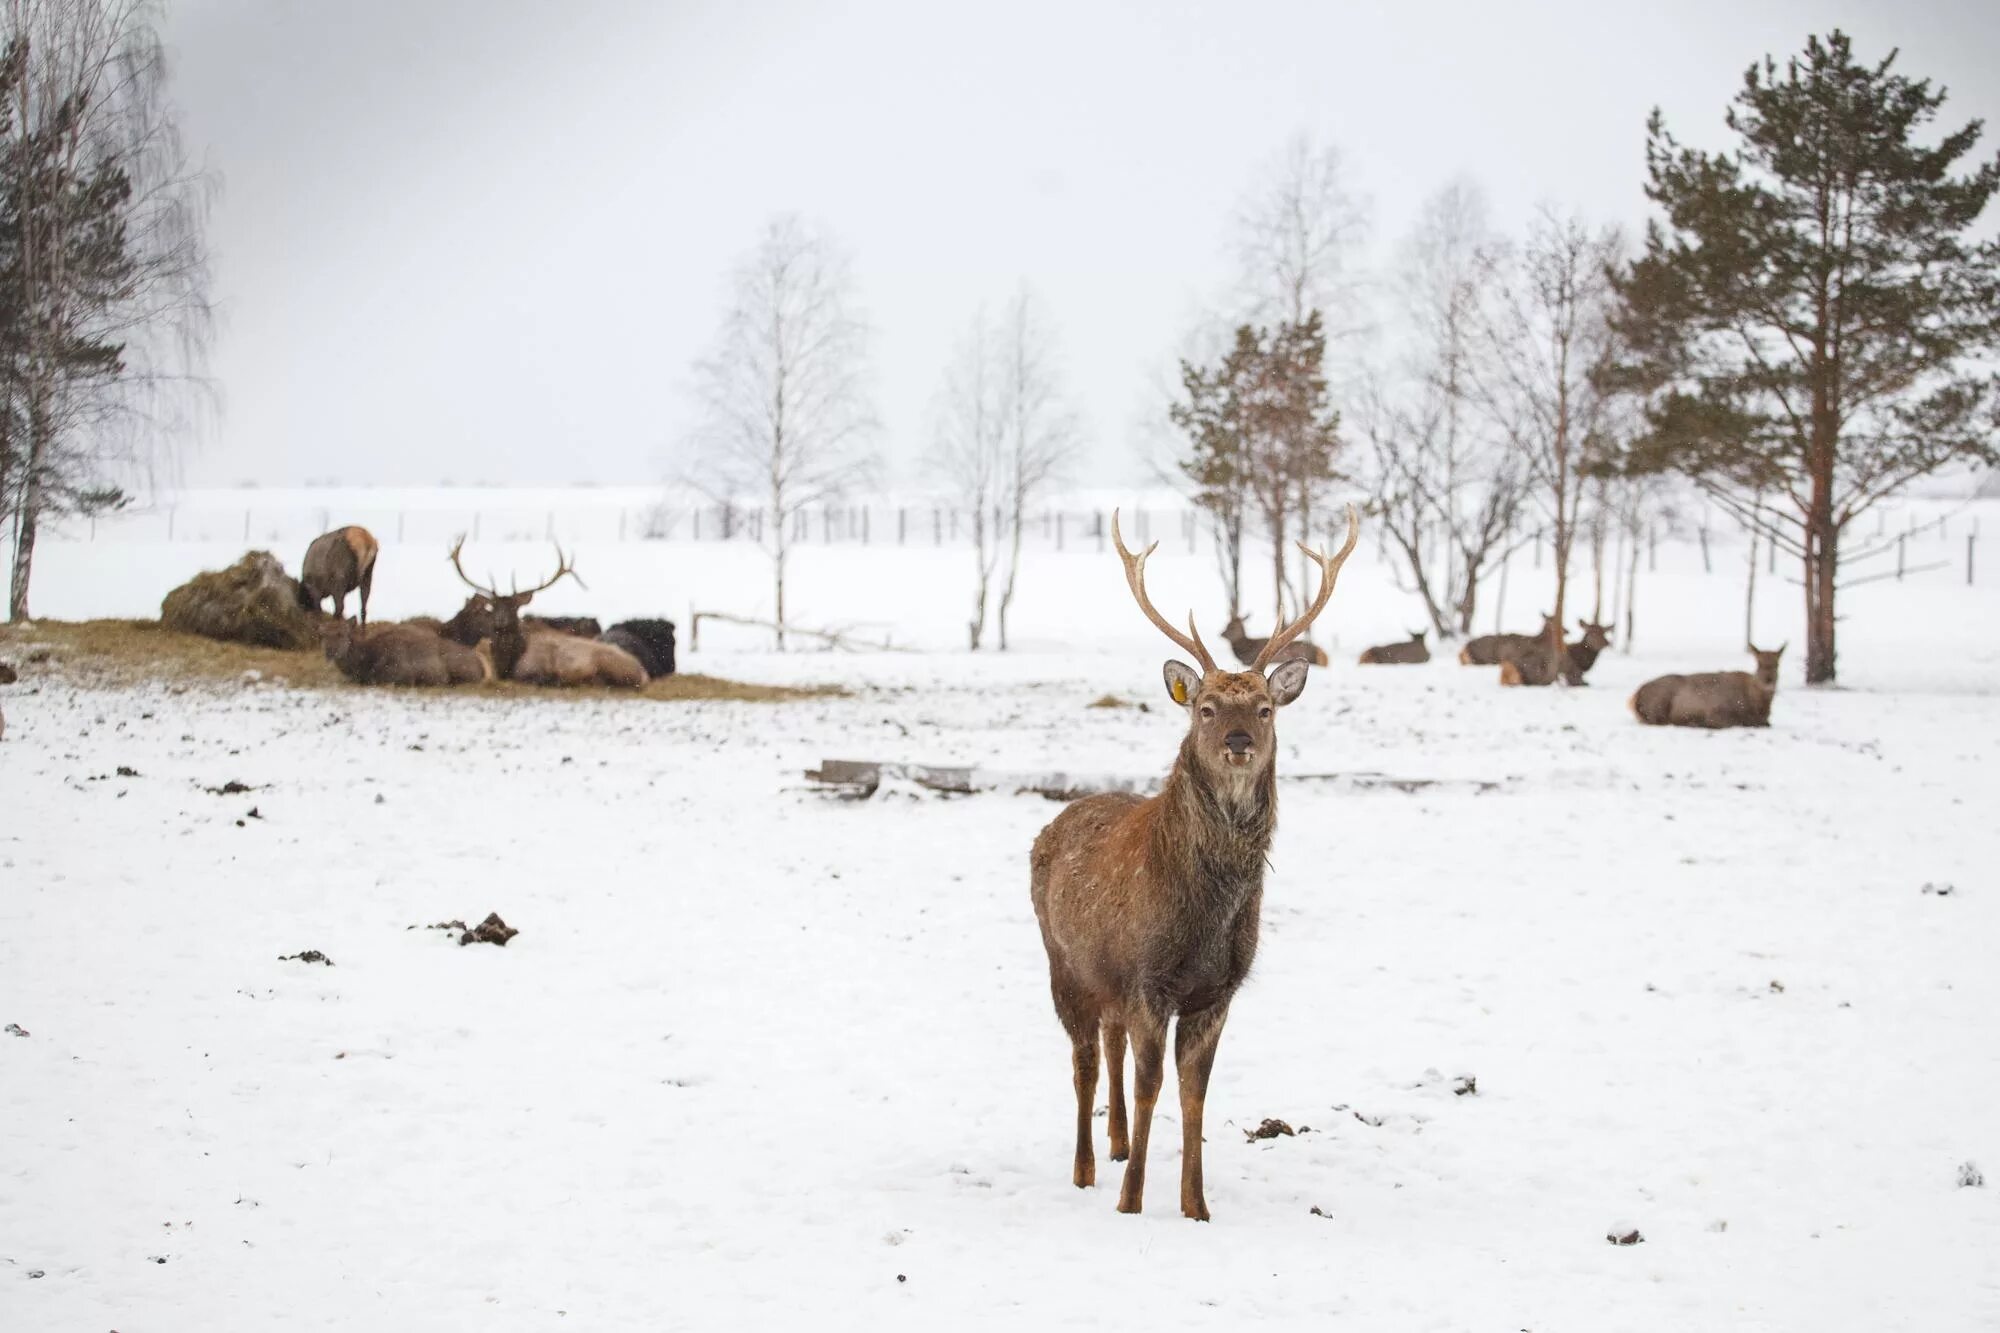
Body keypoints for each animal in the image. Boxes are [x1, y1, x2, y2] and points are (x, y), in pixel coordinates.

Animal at [448, 536, 648, 688]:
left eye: (514, 607)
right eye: (493, 606)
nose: (500, 621)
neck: (507, 660)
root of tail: (644, 672)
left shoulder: (531, 668)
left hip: (609, 663)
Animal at [1032, 498, 1360, 1216]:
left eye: (1264, 708)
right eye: (1206, 707)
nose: (1238, 741)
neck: (1202, 919)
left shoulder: (1216, 990)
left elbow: (1194, 1095)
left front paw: (1195, 1205)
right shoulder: (1150, 978)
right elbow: (1155, 1086)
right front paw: (1131, 1202)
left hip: (1108, 979)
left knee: (1110, 1043)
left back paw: (1119, 1144)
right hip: (1064, 964)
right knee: (1083, 1062)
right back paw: (1087, 1168)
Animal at [1632, 644, 1792, 728]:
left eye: (1777, 664)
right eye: (1759, 663)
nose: (1768, 680)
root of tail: (1635, 697)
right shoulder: (1716, 712)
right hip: (1660, 704)